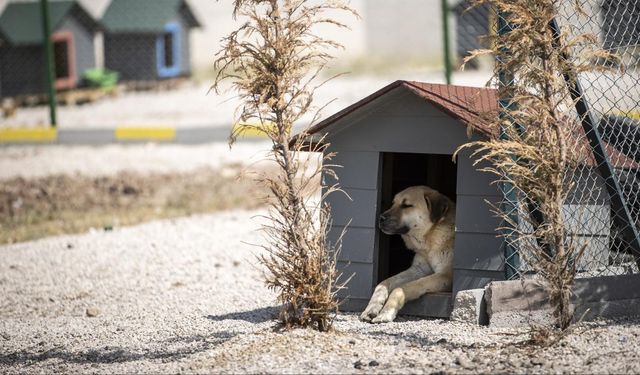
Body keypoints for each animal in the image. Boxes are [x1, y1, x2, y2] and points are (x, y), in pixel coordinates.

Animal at [360, 185, 456, 324]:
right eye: (393, 203)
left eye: (406, 205)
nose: (380, 218)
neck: (429, 240)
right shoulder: (418, 269)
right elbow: (383, 283)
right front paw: (372, 307)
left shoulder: (445, 276)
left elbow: (401, 288)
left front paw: (386, 312)